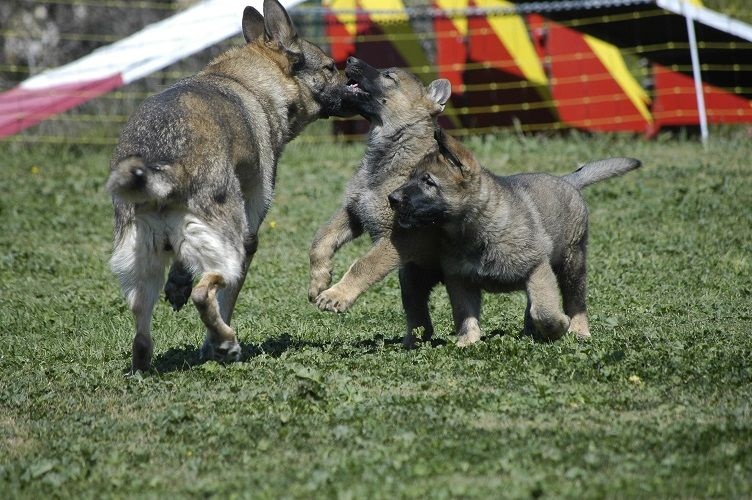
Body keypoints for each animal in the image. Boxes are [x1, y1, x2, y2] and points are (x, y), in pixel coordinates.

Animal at [106, 0, 356, 374]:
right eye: (329, 68)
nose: (355, 81)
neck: (251, 82)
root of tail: (164, 160)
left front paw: (178, 285)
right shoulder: (249, 235)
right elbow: (226, 300)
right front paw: (213, 343)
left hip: (140, 268)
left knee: (141, 327)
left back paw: (143, 364)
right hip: (232, 247)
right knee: (204, 294)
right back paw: (225, 342)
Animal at [388, 130, 640, 344]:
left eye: (428, 182)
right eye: (411, 178)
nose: (392, 198)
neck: (474, 231)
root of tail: (568, 180)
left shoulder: (536, 267)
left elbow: (545, 310)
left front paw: (559, 326)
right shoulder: (460, 280)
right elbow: (465, 315)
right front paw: (467, 342)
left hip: (572, 260)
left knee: (575, 298)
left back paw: (579, 329)